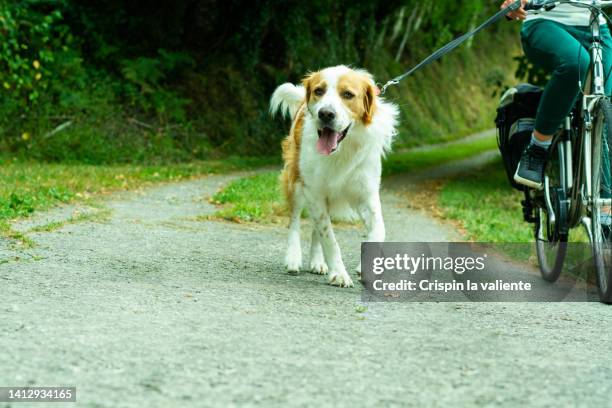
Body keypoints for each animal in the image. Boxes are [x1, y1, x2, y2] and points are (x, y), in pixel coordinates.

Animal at [270, 65, 400, 286]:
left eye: (347, 94)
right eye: (319, 91)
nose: (325, 113)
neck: (342, 151)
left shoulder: (366, 195)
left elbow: (379, 229)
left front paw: (365, 267)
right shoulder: (313, 192)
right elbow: (329, 238)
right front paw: (339, 273)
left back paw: (317, 262)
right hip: (296, 182)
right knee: (295, 220)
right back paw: (293, 258)